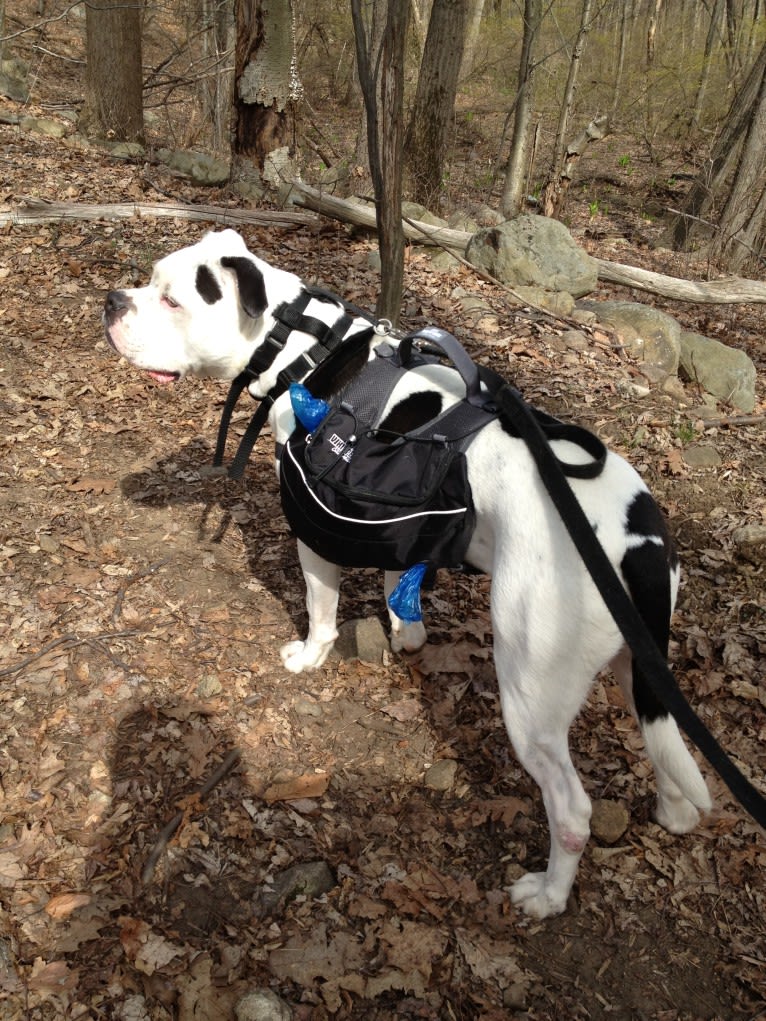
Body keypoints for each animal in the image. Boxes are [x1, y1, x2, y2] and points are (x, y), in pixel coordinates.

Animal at [103, 229, 714, 918]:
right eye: (151, 280)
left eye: (172, 299)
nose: (111, 301)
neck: (307, 352)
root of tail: (640, 541)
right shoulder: (397, 521)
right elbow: (402, 582)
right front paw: (406, 630)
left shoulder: (319, 530)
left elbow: (320, 611)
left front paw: (311, 656)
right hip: (639, 667)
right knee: (664, 744)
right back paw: (673, 812)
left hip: (531, 691)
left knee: (572, 808)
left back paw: (548, 894)